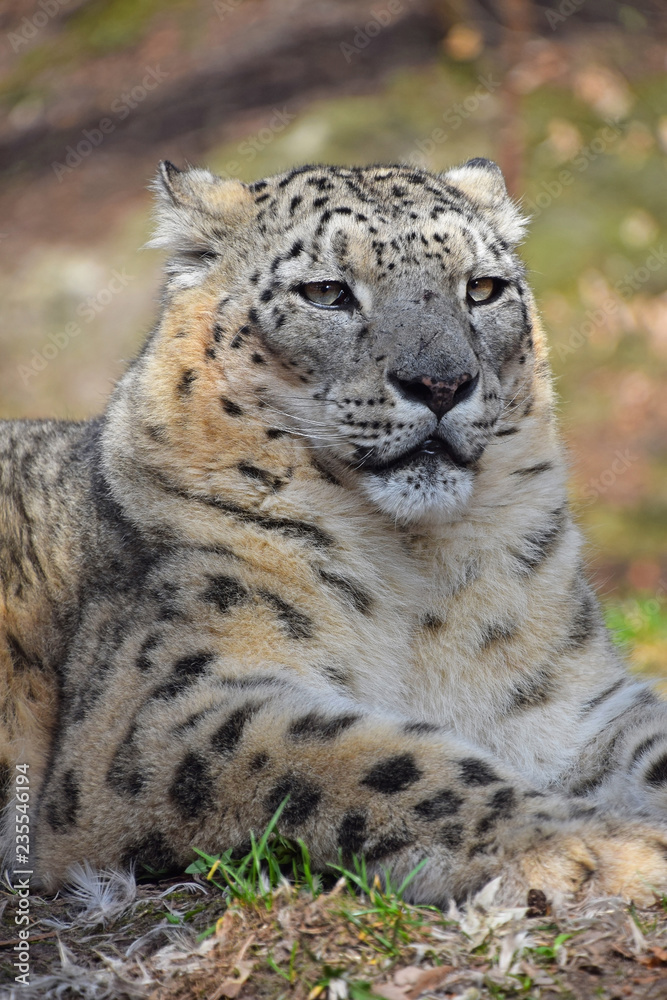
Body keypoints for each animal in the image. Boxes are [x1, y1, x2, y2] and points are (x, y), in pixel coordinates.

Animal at [2, 158, 667, 907]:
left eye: (483, 287)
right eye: (325, 291)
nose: (442, 382)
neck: (422, 576)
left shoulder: (574, 702)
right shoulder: (163, 711)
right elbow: (375, 760)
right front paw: (592, 845)